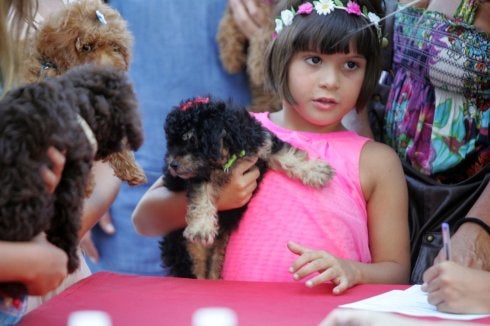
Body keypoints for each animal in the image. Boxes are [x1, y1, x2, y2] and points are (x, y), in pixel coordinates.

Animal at [161, 95, 334, 278]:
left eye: (190, 139)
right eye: (171, 143)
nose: (172, 165)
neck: (228, 155)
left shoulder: (261, 143)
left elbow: (288, 156)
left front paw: (316, 170)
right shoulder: (199, 176)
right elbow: (201, 198)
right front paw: (201, 228)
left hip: (219, 246)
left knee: (214, 265)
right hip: (187, 250)